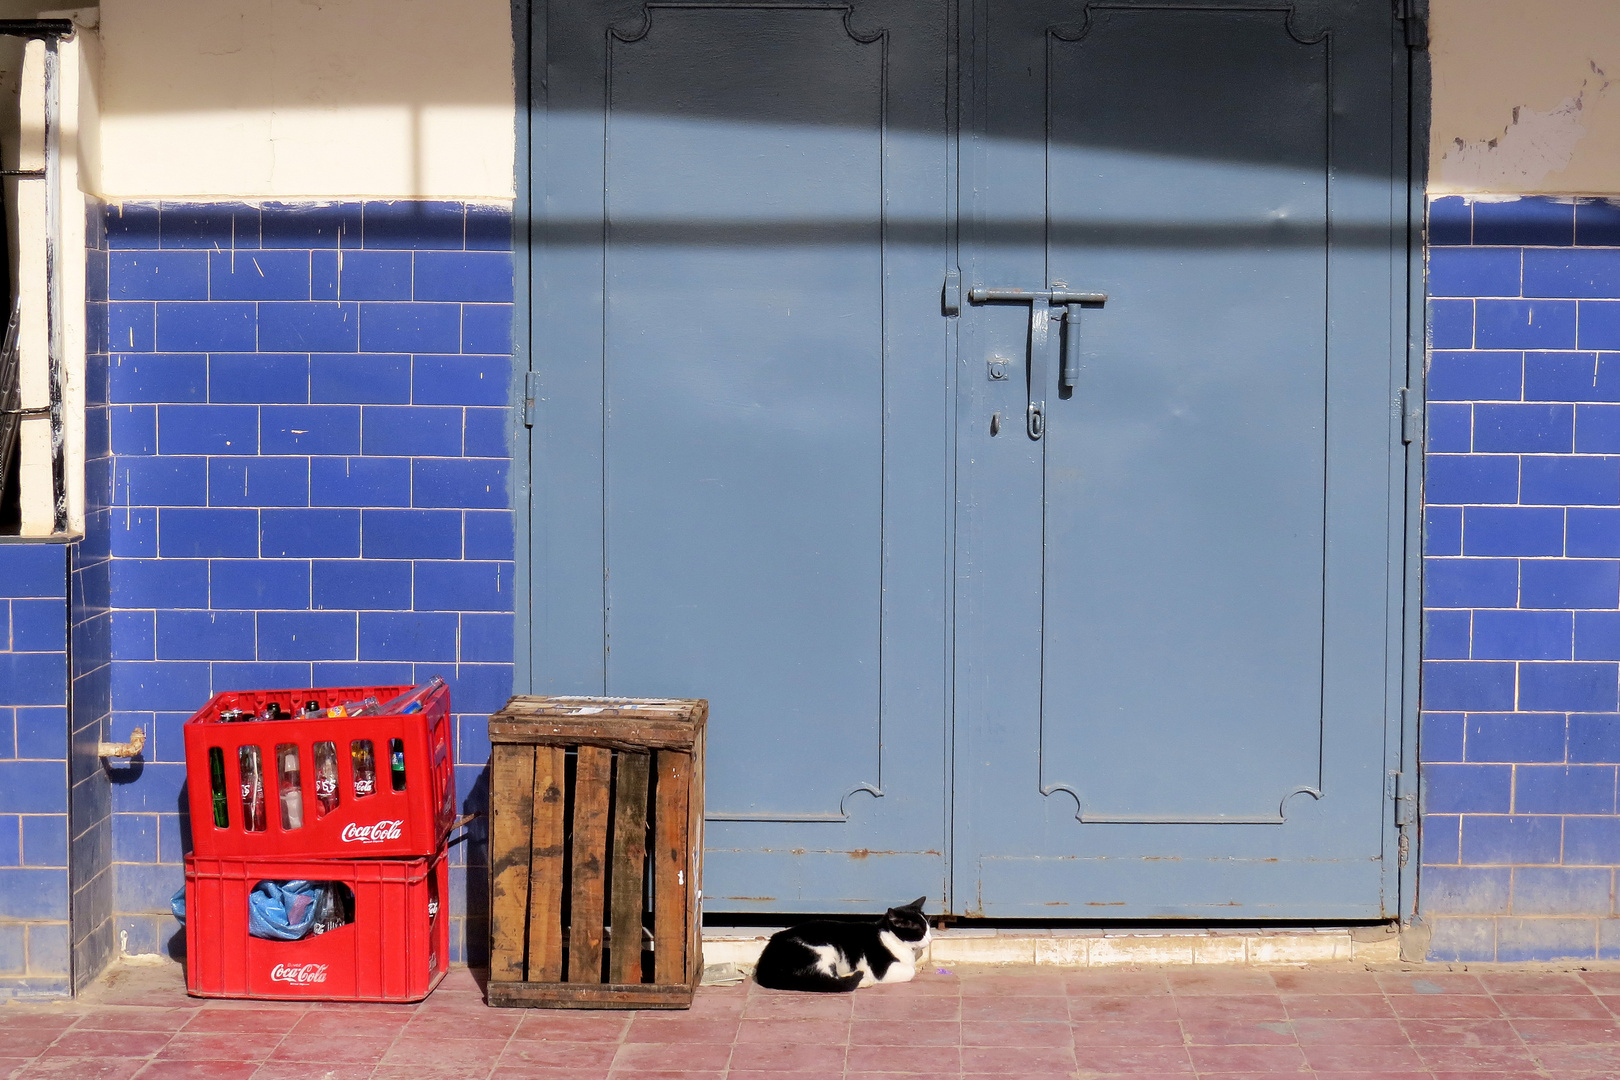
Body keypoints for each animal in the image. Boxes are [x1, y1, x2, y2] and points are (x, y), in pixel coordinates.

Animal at [751, 900, 933, 990]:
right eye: (920, 930)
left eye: (929, 927)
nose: (931, 940)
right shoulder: (882, 969)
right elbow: (910, 971)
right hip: (823, 950)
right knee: (826, 979)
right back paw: (863, 980)